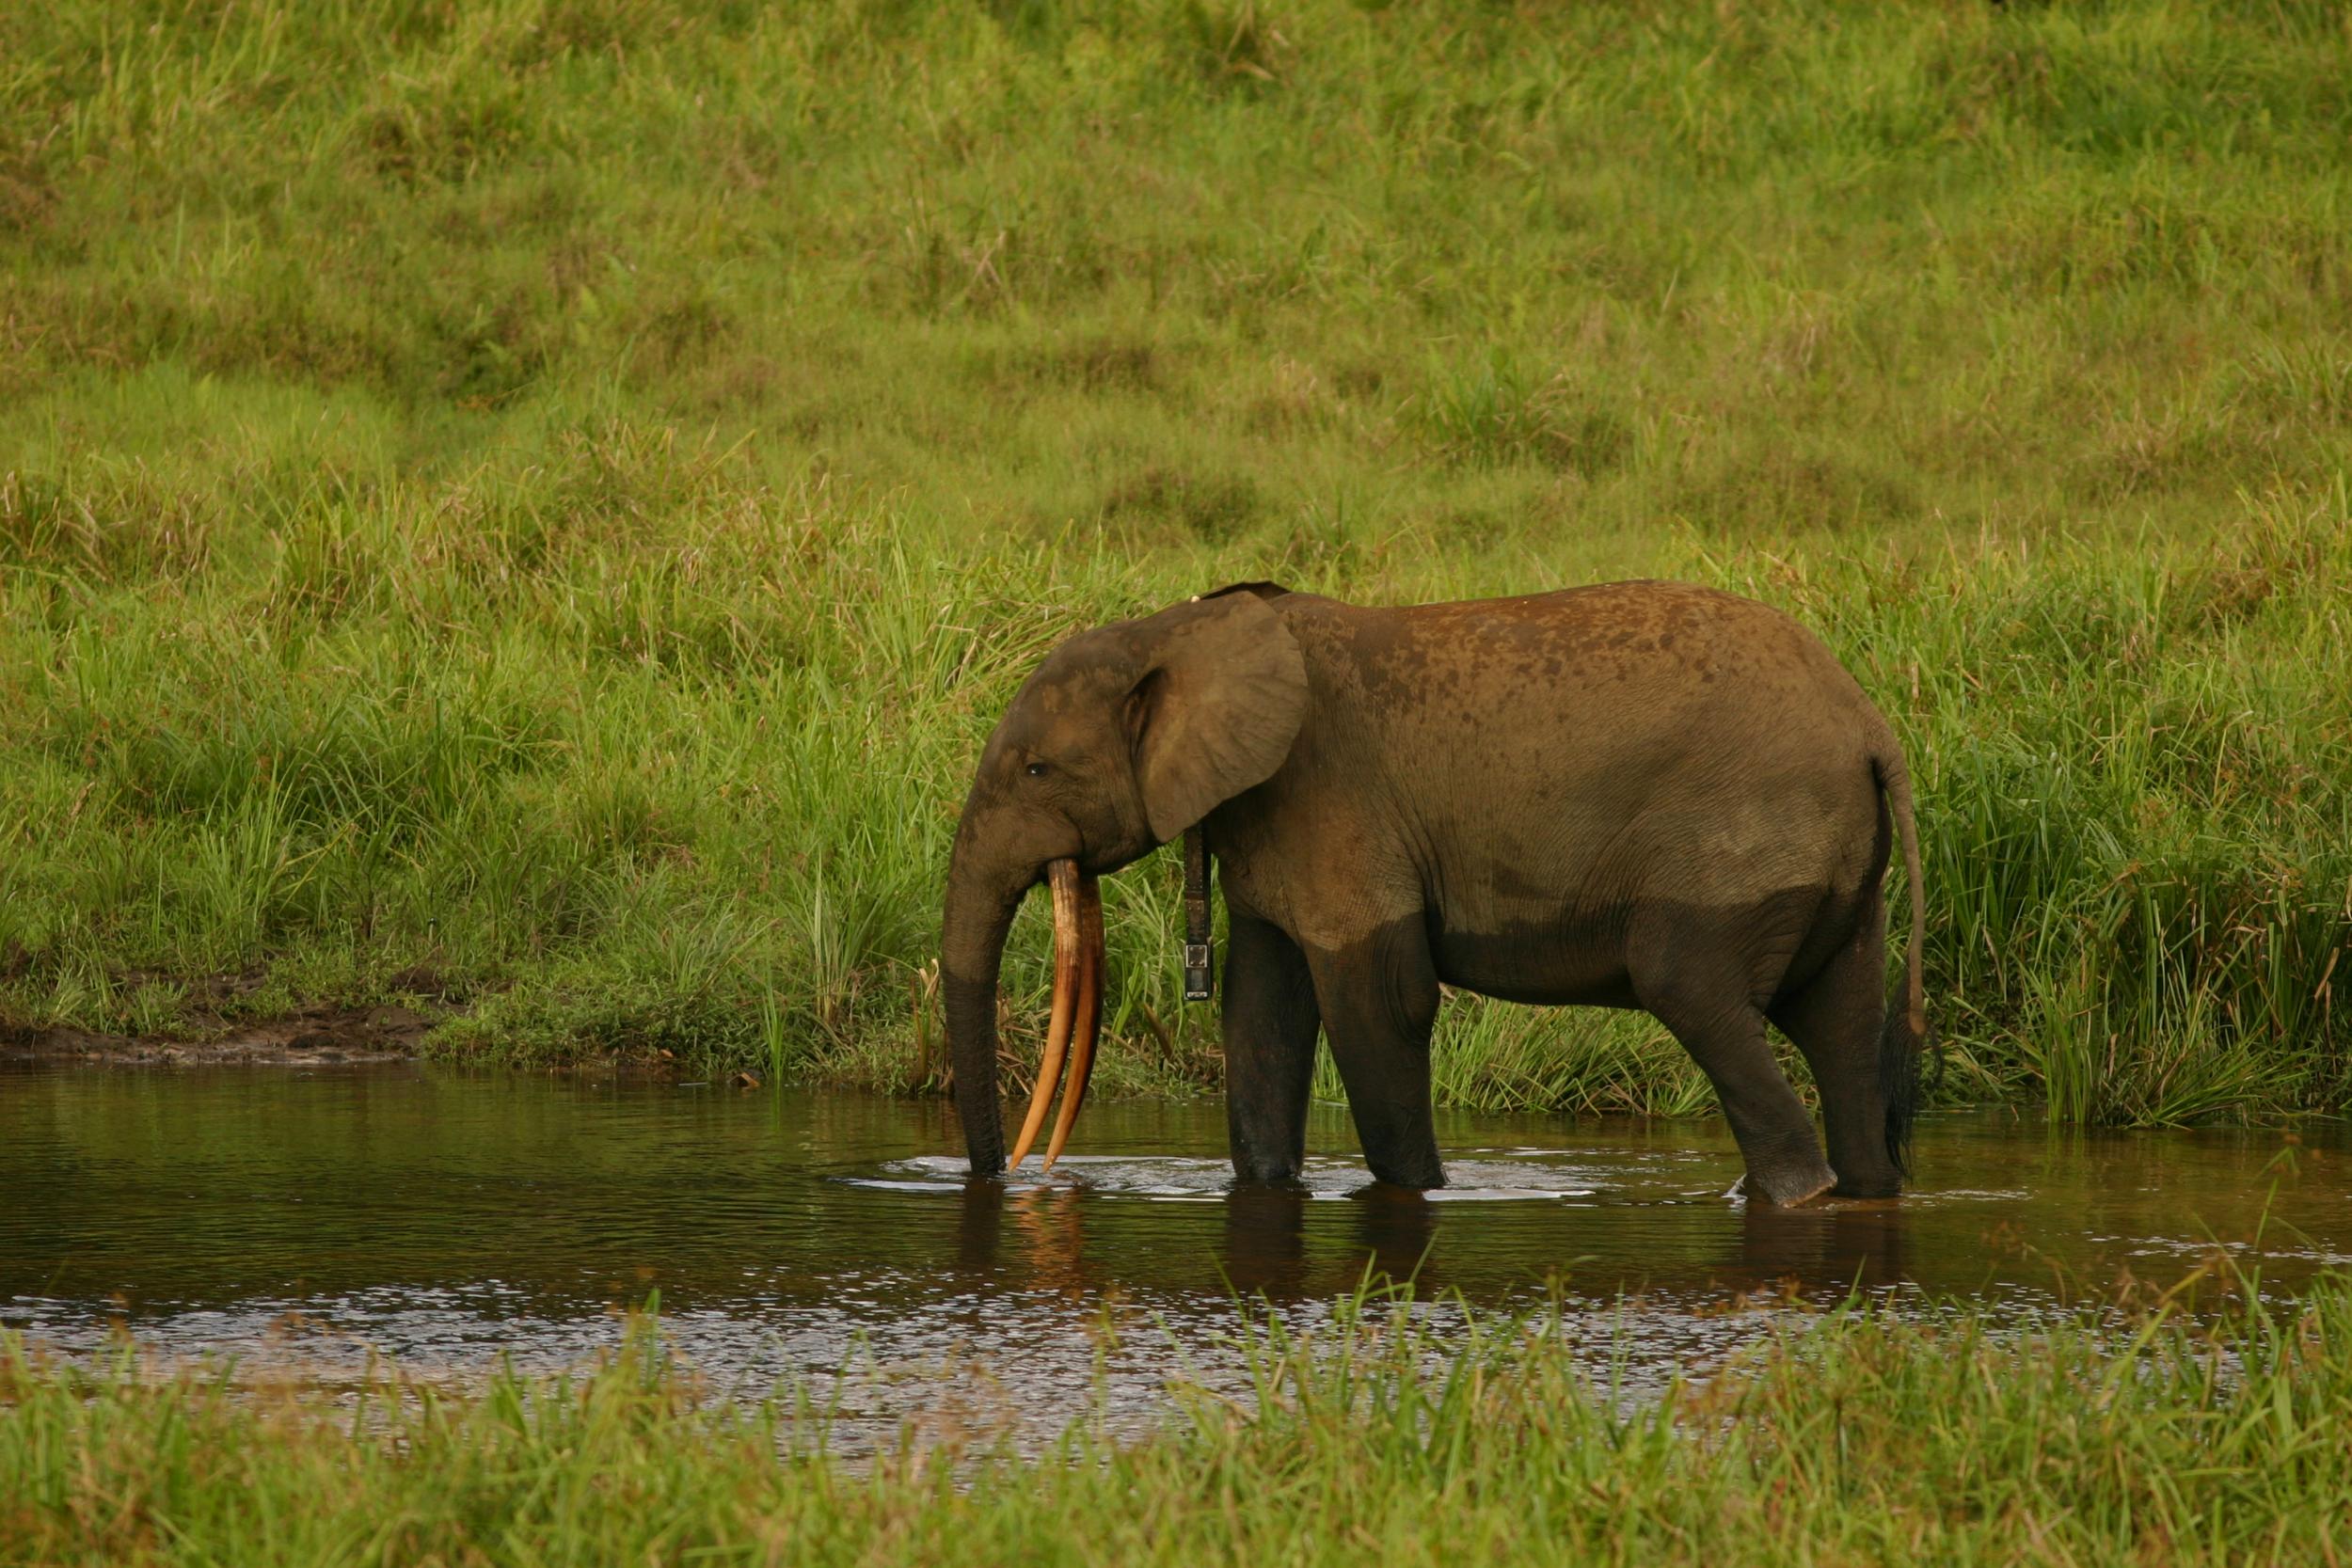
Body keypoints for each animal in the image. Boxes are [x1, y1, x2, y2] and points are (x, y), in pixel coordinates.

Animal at [940, 579, 1929, 1205]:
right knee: (1840, 1023)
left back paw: (1797, 1194)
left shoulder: (1330, 799)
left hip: (1742, 846)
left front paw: (1417, 1194)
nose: (1000, 1176)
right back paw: (1860, 1188)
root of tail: (1871, 727)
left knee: (1691, 988)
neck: (1181, 630)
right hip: (1836, 871)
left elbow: (1379, 1000)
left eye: (1036, 769)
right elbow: (1262, 1013)